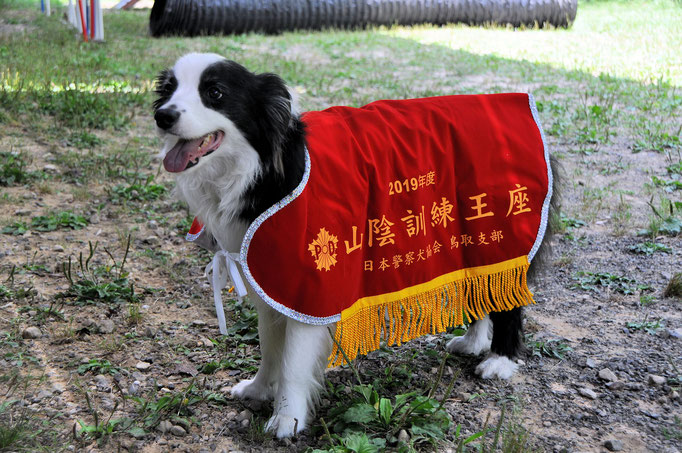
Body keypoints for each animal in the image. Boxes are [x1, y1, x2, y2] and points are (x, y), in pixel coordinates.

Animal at [154, 53, 556, 438]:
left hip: (501, 231)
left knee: (510, 303)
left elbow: (292, 364)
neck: (262, 173)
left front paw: (286, 419)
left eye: (215, 93)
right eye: (168, 90)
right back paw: (472, 341)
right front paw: (259, 389)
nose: (162, 115)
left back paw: (500, 359)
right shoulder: (271, 283)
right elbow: (270, 349)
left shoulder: (311, 290)